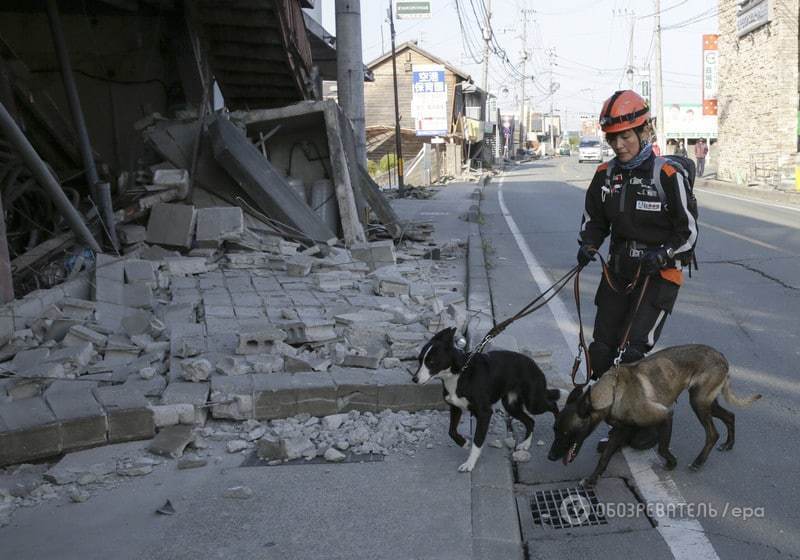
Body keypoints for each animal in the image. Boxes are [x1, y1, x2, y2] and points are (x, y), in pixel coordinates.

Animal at [412, 328, 564, 472]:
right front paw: (464, 443)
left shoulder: (484, 413)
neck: (459, 373)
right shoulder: (455, 407)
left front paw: (470, 463)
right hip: (511, 406)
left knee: (552, 404)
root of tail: (534, 364)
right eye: (419, 360)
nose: (414, 379)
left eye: (431, 361)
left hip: (533, 402)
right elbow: (451, 431)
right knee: (530, 421)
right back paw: (526, 443)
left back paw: (558, 421)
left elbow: (478, 440)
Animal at [548, 344, 760, 484]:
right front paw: (593, 479)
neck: (612, 393)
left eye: (566, 433)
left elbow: (663, 448)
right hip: (706, 403)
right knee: (730, 416)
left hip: (699, 404)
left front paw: (671, 463)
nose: (550, 457)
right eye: (554, 430)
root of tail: (721, 357)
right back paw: (729, 444)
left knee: (713, 433)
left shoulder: (666, 415)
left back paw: (699, 462)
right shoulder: (620, 431)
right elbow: (604, 458)